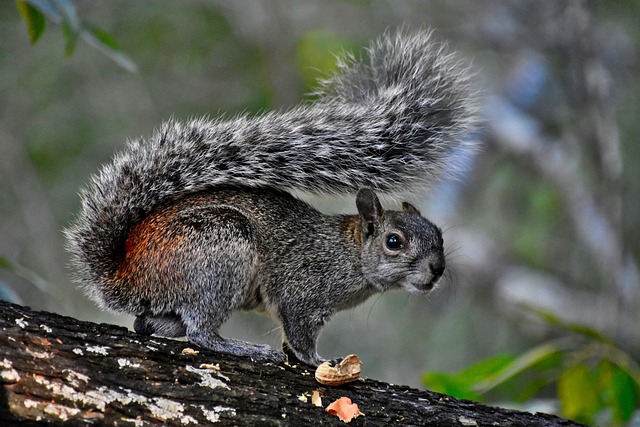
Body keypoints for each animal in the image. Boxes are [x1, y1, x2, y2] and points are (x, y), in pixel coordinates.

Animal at [65, 30, 476, 366]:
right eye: (394, 242)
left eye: (438, 235)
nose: (437, 268)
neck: (347, 253)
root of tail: (127, 274)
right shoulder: (301, 293)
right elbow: (299, 336)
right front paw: (320, 361)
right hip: (219, 252)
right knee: (199, 332)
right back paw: (240, 347)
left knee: (146, 324)